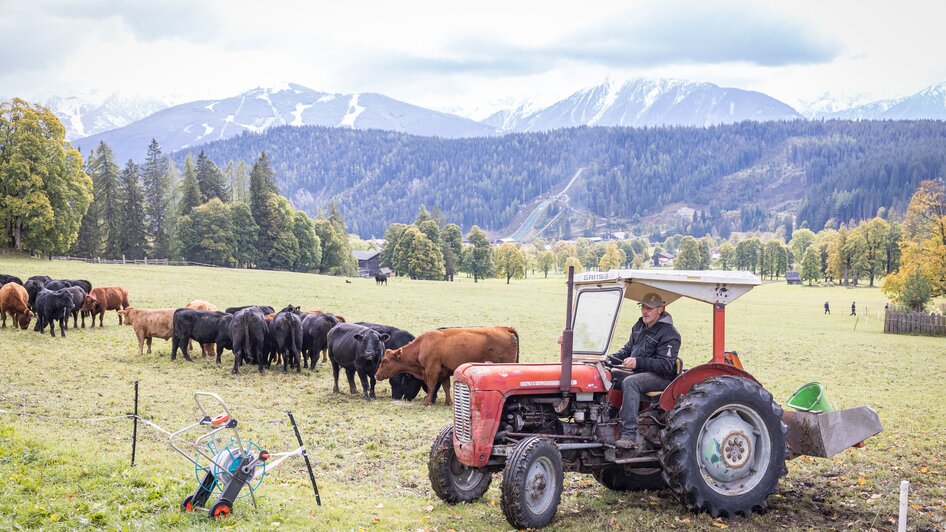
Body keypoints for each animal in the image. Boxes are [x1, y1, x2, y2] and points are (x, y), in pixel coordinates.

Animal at [374, 324, 520, 408]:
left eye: (385, 361)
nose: (376, 375)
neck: (423, 345)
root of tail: (504, 328)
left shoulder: (432, 370)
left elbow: (431, 386)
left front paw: (426, 402)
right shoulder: (444, 373)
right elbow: (446, 387)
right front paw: (448, 402)